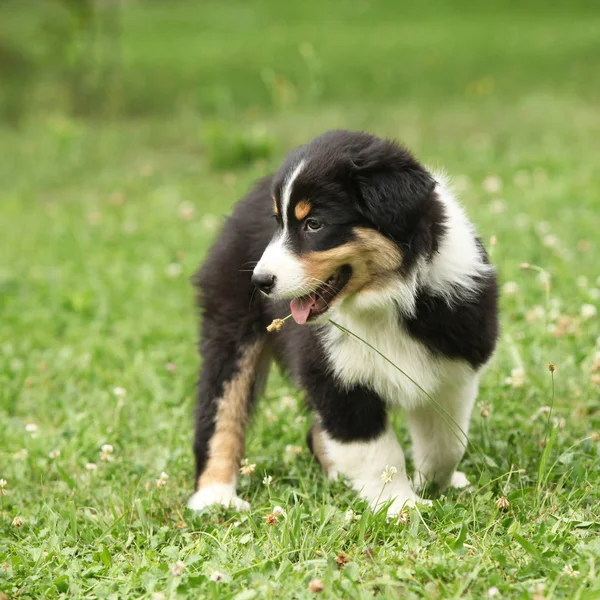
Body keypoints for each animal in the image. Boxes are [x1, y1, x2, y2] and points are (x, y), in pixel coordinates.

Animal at [190, 130, 500, 516]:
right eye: (278, 224)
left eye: (314, 224)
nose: (260, 281)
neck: (386, 298)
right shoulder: (334, 375)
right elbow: (377, 451)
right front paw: (399, 506)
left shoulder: (452, 366)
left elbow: (447, 443)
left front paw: (432, 485)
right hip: (230, 326)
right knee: (221, 405)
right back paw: (215, 495)